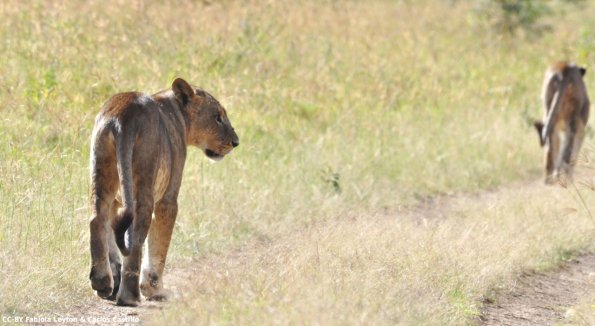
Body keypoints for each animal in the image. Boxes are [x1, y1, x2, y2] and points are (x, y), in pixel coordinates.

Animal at [88, 78, 237, 306]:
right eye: (217, 117)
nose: (236, 142)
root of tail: (123, 116)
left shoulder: (117, 202)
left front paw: (114, 282)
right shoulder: (168, 198)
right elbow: (159, 245)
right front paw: (155, 289)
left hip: (102, 175)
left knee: (97, 220)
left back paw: (102, 283)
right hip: (144, 182)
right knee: (136, 235)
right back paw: (129, 297)